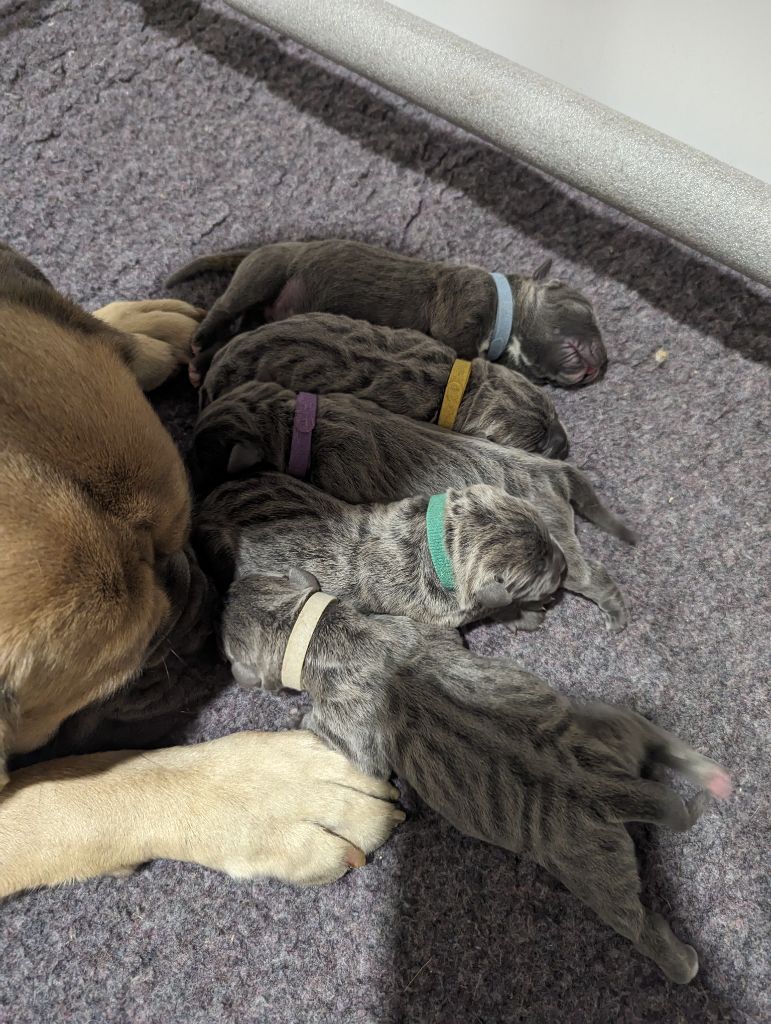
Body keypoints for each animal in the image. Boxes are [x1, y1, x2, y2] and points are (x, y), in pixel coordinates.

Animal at [189, 380, 634, 626]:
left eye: (204, 455)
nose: (195, 493)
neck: (300, 423)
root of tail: (555, 470)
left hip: (563, 545)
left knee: (590, 574)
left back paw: (614, 611)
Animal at [221, 569, 729, 983]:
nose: (225, 592)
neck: (333, 634)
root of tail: (608, 788)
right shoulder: (419, 628)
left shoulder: (352, 731)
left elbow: (337, 747)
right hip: (610, 726)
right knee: (659, 741)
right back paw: (711, 777)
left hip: (590, 867)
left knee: (640, 926)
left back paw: (683, 960)